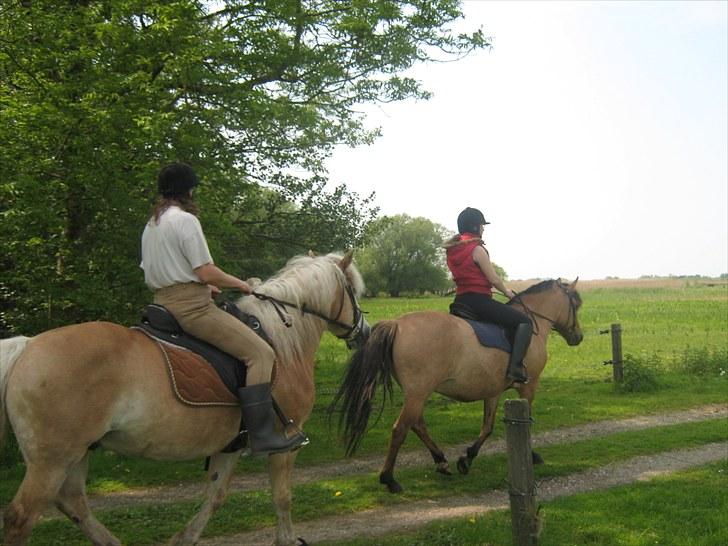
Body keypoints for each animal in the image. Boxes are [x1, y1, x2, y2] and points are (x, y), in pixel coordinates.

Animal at [0, 251, 364, 544]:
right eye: (354, 292)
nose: (362, 331)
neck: (281, 339)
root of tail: (27, 346)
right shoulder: (286, 438)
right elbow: (282, 496)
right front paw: (286, 540)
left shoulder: (231, 444)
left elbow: (215, 495)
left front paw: (184, 538)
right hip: (53, 460)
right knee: (22, 517)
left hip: (76, 453)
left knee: (74, 503)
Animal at [332, 278, 584, 490]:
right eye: (576, 305)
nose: (578, 337)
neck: (532, 322)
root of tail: (397, 324)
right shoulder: (528, 387)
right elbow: (526, 422)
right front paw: (531, 456)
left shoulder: (493, 391)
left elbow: (487, 426)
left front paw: (467, 458)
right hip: (418, 393)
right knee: (400, 429)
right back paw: (389, 479)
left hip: (416, 393)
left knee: (417, 425)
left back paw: (441, 461)